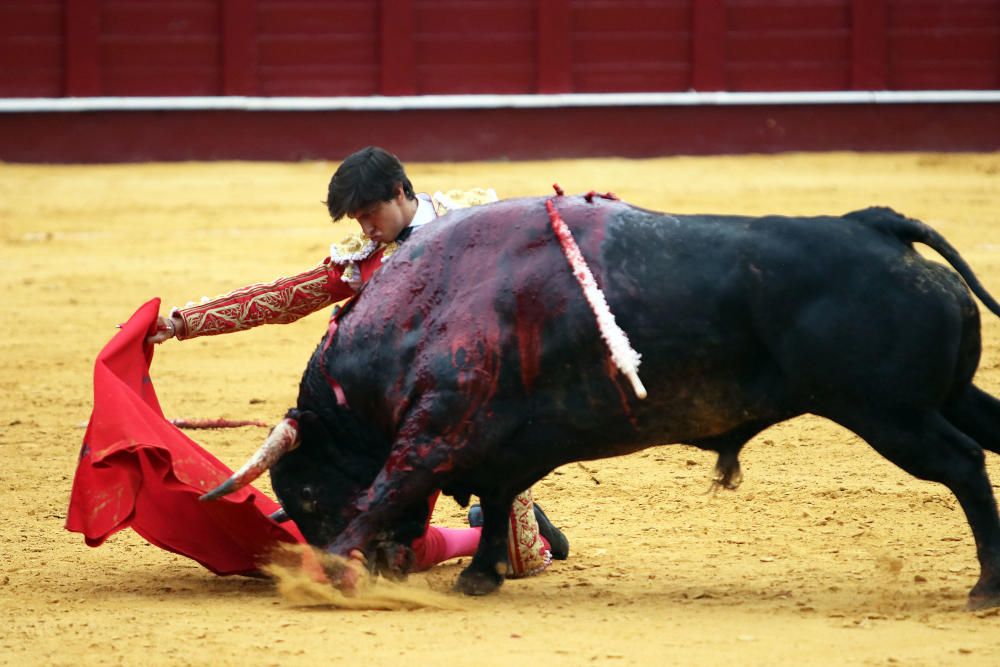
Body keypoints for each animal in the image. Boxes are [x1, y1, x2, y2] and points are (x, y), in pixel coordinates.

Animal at [215, 192, 1000, 604]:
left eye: (304, 492)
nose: (386, 568)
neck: (420, 309)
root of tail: (877, 223)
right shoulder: (499, 446)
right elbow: (496, 499)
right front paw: (480, 576)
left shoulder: (432, 434)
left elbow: (383, 490)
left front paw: (320, 574)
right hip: (945, 396)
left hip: (890, 413)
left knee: (963, 465)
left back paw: (986, 588)